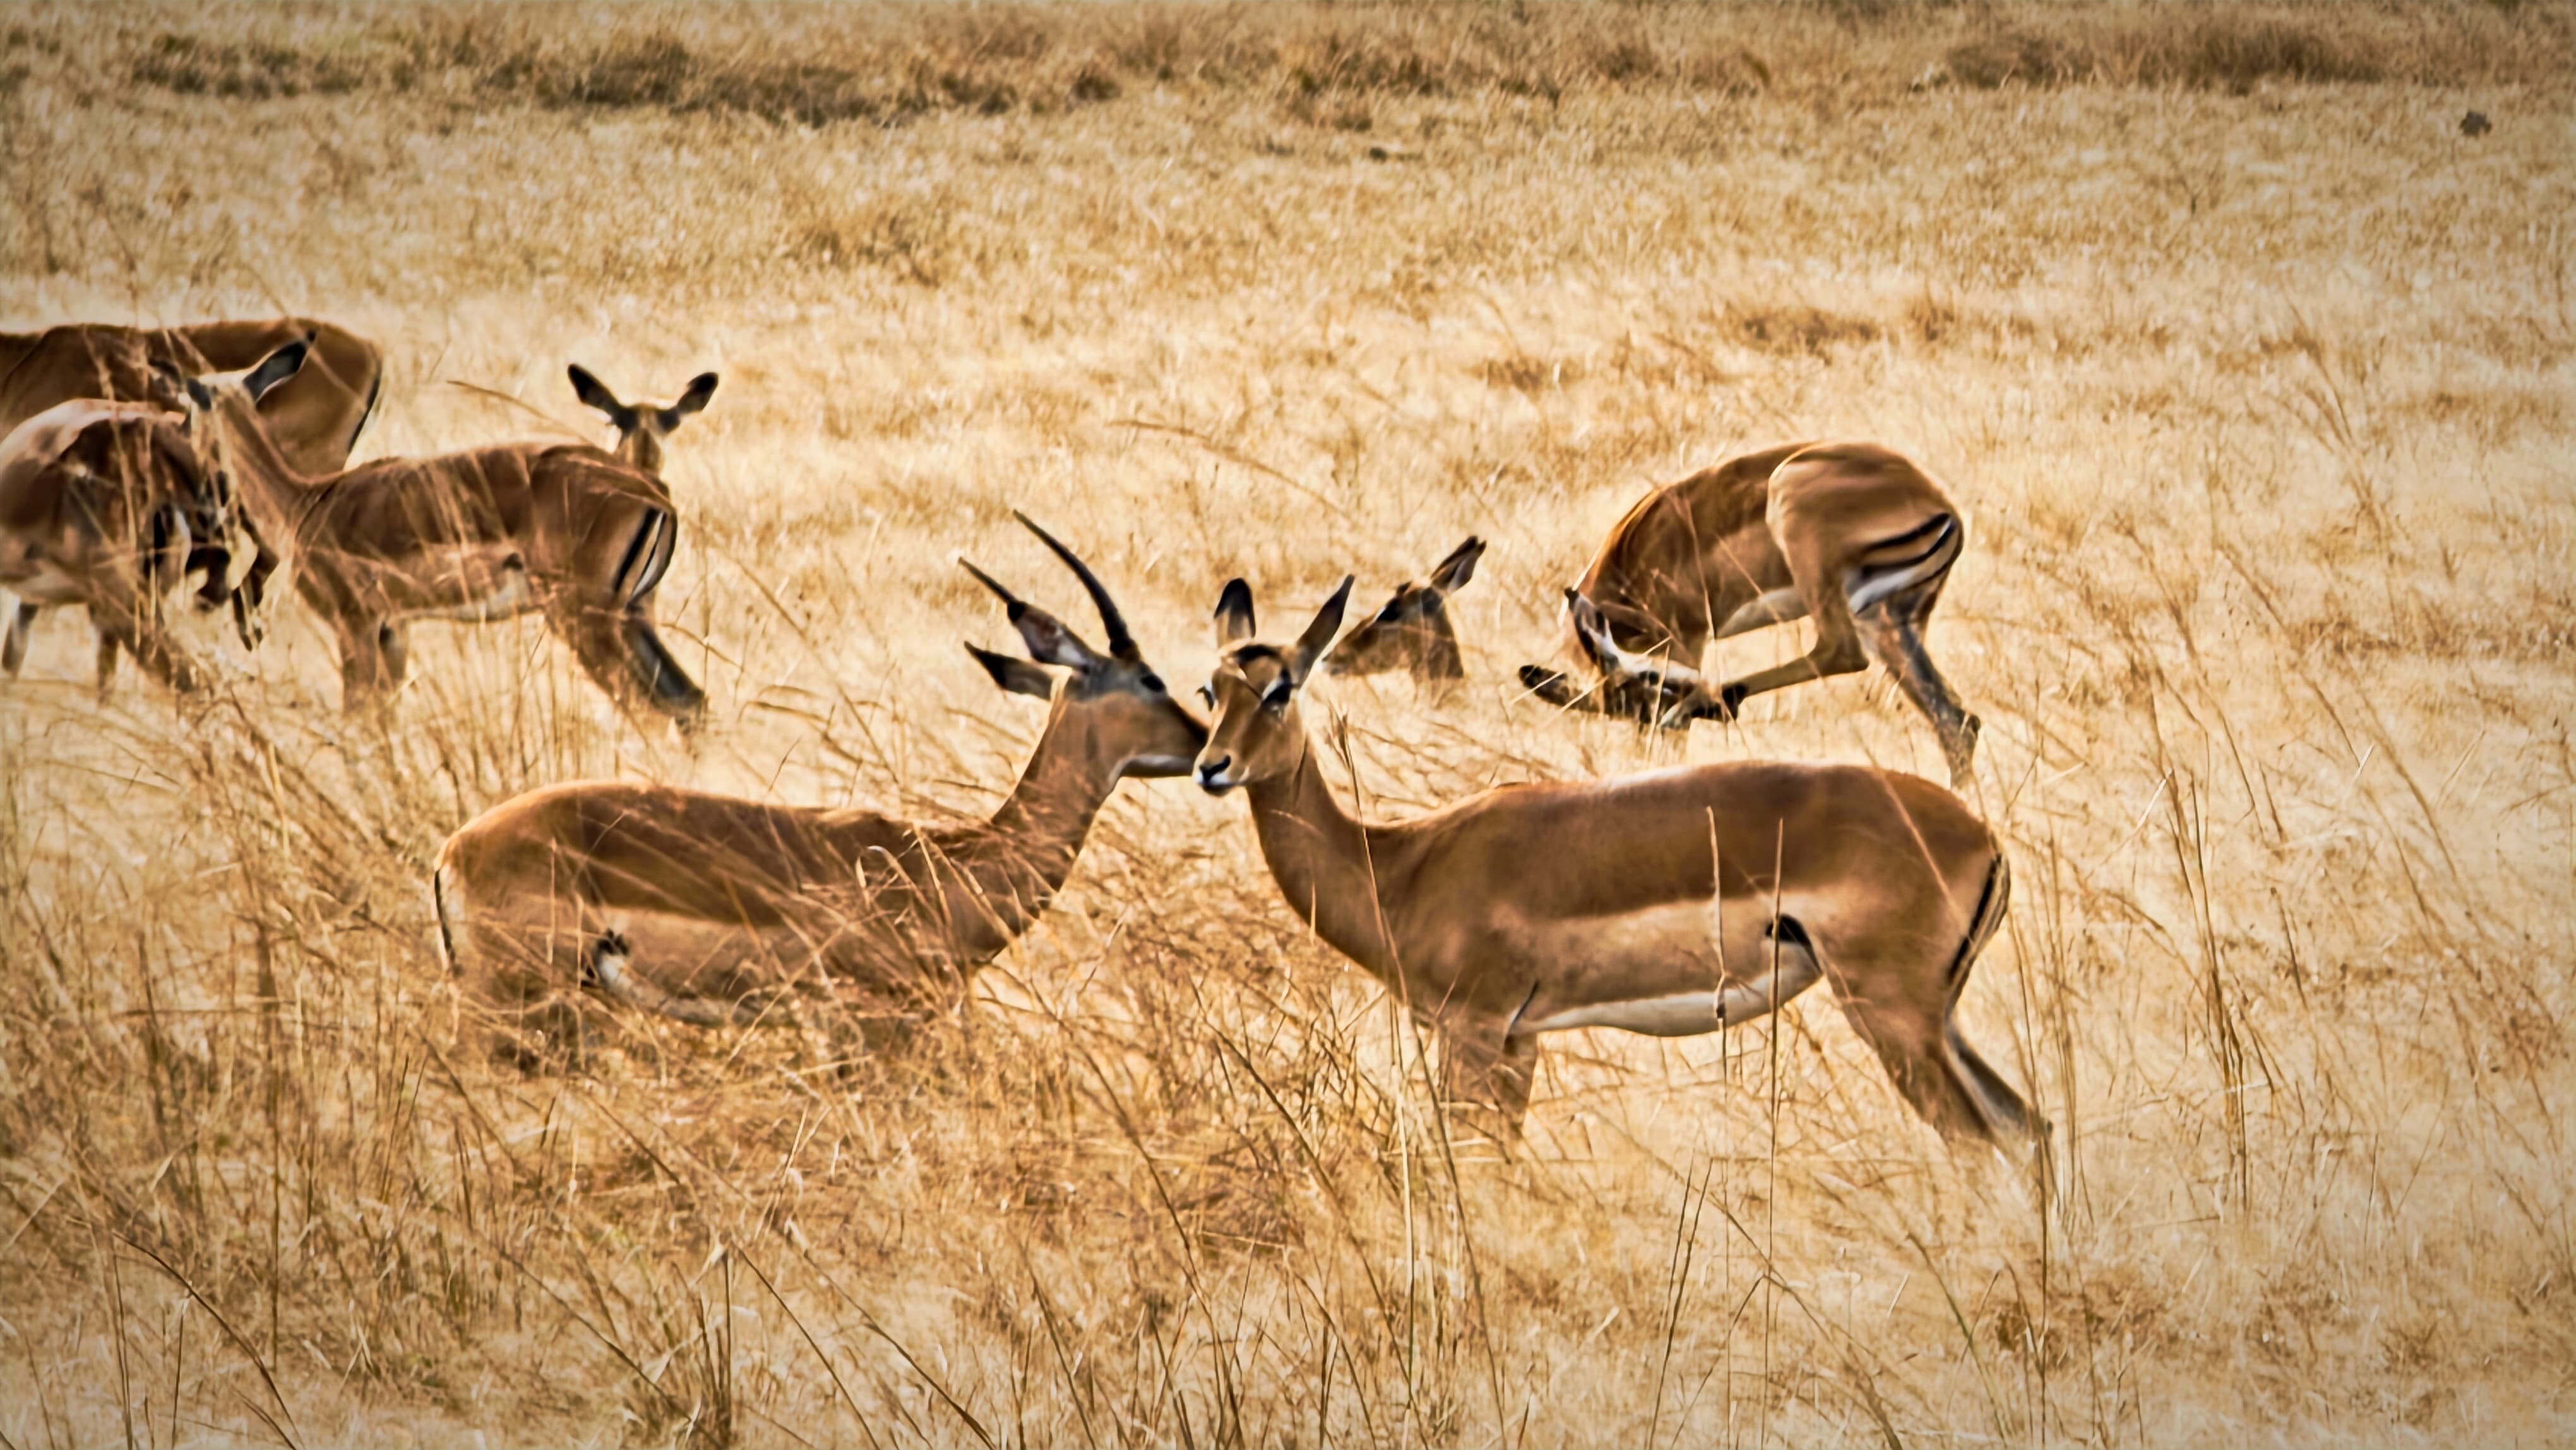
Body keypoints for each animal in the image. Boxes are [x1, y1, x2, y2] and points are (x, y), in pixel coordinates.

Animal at [1197, 573, 2043, 1156]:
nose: (1212, 766)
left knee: (1981, 1143)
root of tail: (1983, 838)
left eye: (1281, 687)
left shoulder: (1474, 1030)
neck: (1398, 862)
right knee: (2031, 1130)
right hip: (1939, 1020)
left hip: (1894, 1018)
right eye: (1210, 688)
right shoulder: (1520, 1039)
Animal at [1518, 441, 1983, 786]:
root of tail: (1940, 507)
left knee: (1840, 652)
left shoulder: (1688, 638)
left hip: (1807, 543)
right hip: (1887, 621)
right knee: (1957, 722)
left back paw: (1720, 698)